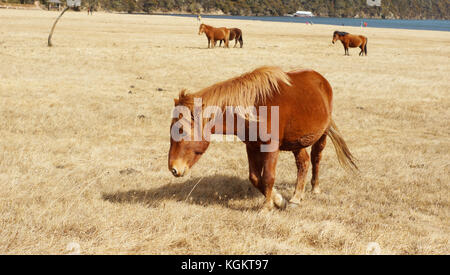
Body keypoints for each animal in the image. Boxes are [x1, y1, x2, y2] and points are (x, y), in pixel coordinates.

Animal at [167, 66, 356, 211]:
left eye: (182, 131)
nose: (173, 169)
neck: (255, 107)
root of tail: (321, 79)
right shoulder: (251, 146)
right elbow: (255, 178)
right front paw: (279, 200)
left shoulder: (271, 147)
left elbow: (268, 177)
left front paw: (266, 207)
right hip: (298, 142)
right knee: (303, 162)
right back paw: (296, 197)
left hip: (321, 135)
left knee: (316, 158)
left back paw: (315, 188)